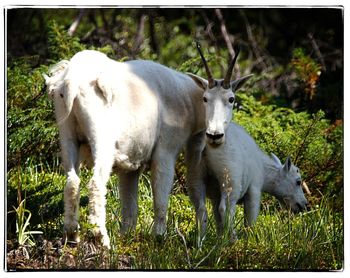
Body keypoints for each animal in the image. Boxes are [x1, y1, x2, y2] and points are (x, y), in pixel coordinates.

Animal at [44, 48, 252, 247]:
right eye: (206, 98)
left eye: (231, 99)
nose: (215, 135)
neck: (188, 101)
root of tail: (71, 82)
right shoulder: (166, 150)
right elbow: (161, 195)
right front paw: (159, 237)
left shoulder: (131, 165)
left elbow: (130, 206)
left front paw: (126, 236)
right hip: (101, 139)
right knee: (96, 183)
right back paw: (101, 238)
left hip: (67, 135)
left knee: (71, 181)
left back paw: (72, 235)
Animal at [186, 44, 306, 240]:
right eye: (298, 181)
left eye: (230, 98)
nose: (303, 205)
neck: (264, 167)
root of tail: (206, 144)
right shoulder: (254, 190)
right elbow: (249, 220)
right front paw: (249, 240)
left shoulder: (214, 193)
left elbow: (217, 219)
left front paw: (219, 240)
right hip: (230, 180)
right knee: (226, 208)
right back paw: (233, 240)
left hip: (195, 176)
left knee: (201, 210)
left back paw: (201, 243)